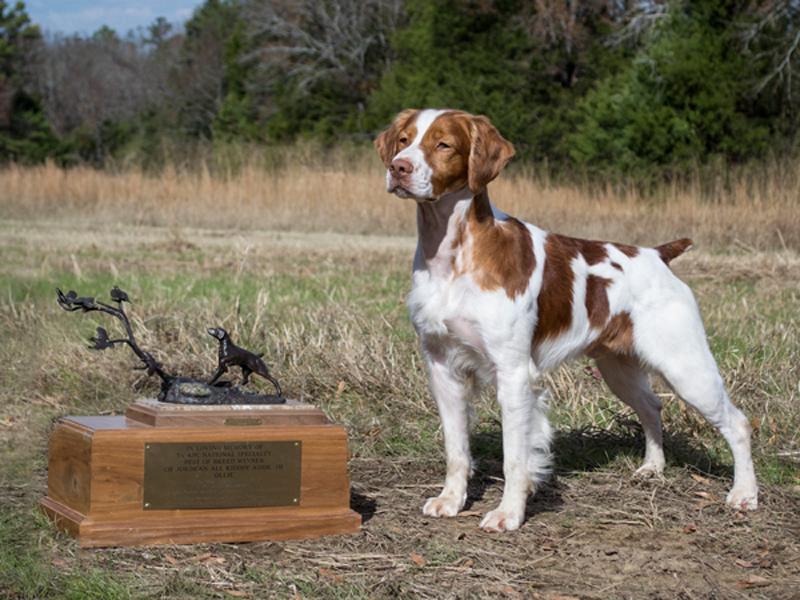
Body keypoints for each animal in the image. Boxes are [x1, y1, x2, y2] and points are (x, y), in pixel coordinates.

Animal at [374, 110, 756, 532]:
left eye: (444, 145)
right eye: (404, 139)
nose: (398, 167)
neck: (453, 255)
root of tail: (657, 254)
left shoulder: (513, 372)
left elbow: (515, 457)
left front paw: (509, 513)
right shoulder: (443, 367)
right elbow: (456, 448)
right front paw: (451, 500)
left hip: (685, 364)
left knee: (738, 423)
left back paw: (744, 494)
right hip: (618, 366)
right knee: (652, 406)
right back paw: (653, 467)